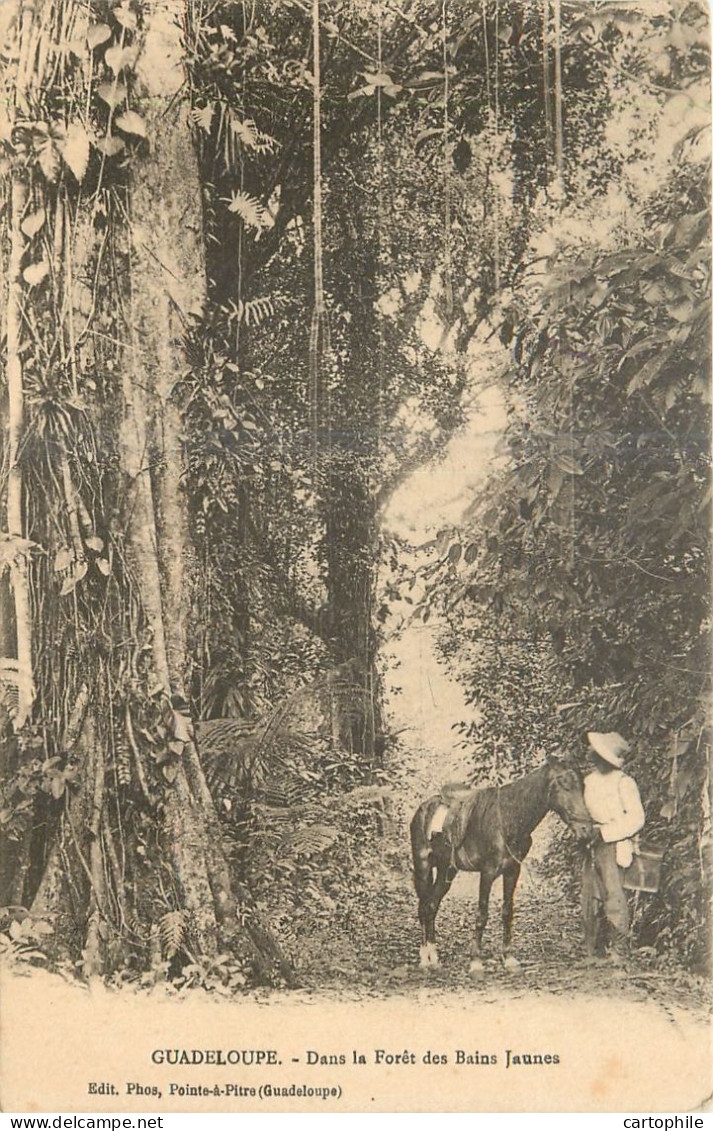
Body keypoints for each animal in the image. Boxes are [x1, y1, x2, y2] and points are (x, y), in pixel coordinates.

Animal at [409, 755, 593, 968]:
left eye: (582, 785)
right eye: (564, 784)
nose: (586, 830)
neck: (507, 819)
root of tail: (424, 808)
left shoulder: (512, 871)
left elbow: (507, 912)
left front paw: (508, 957)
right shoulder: (487, 872)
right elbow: (482, 914)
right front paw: (476, 961)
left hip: (447, 870)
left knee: (432, 905)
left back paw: (434, 955)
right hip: (423, 865)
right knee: (424, 906)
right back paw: (425, 958)